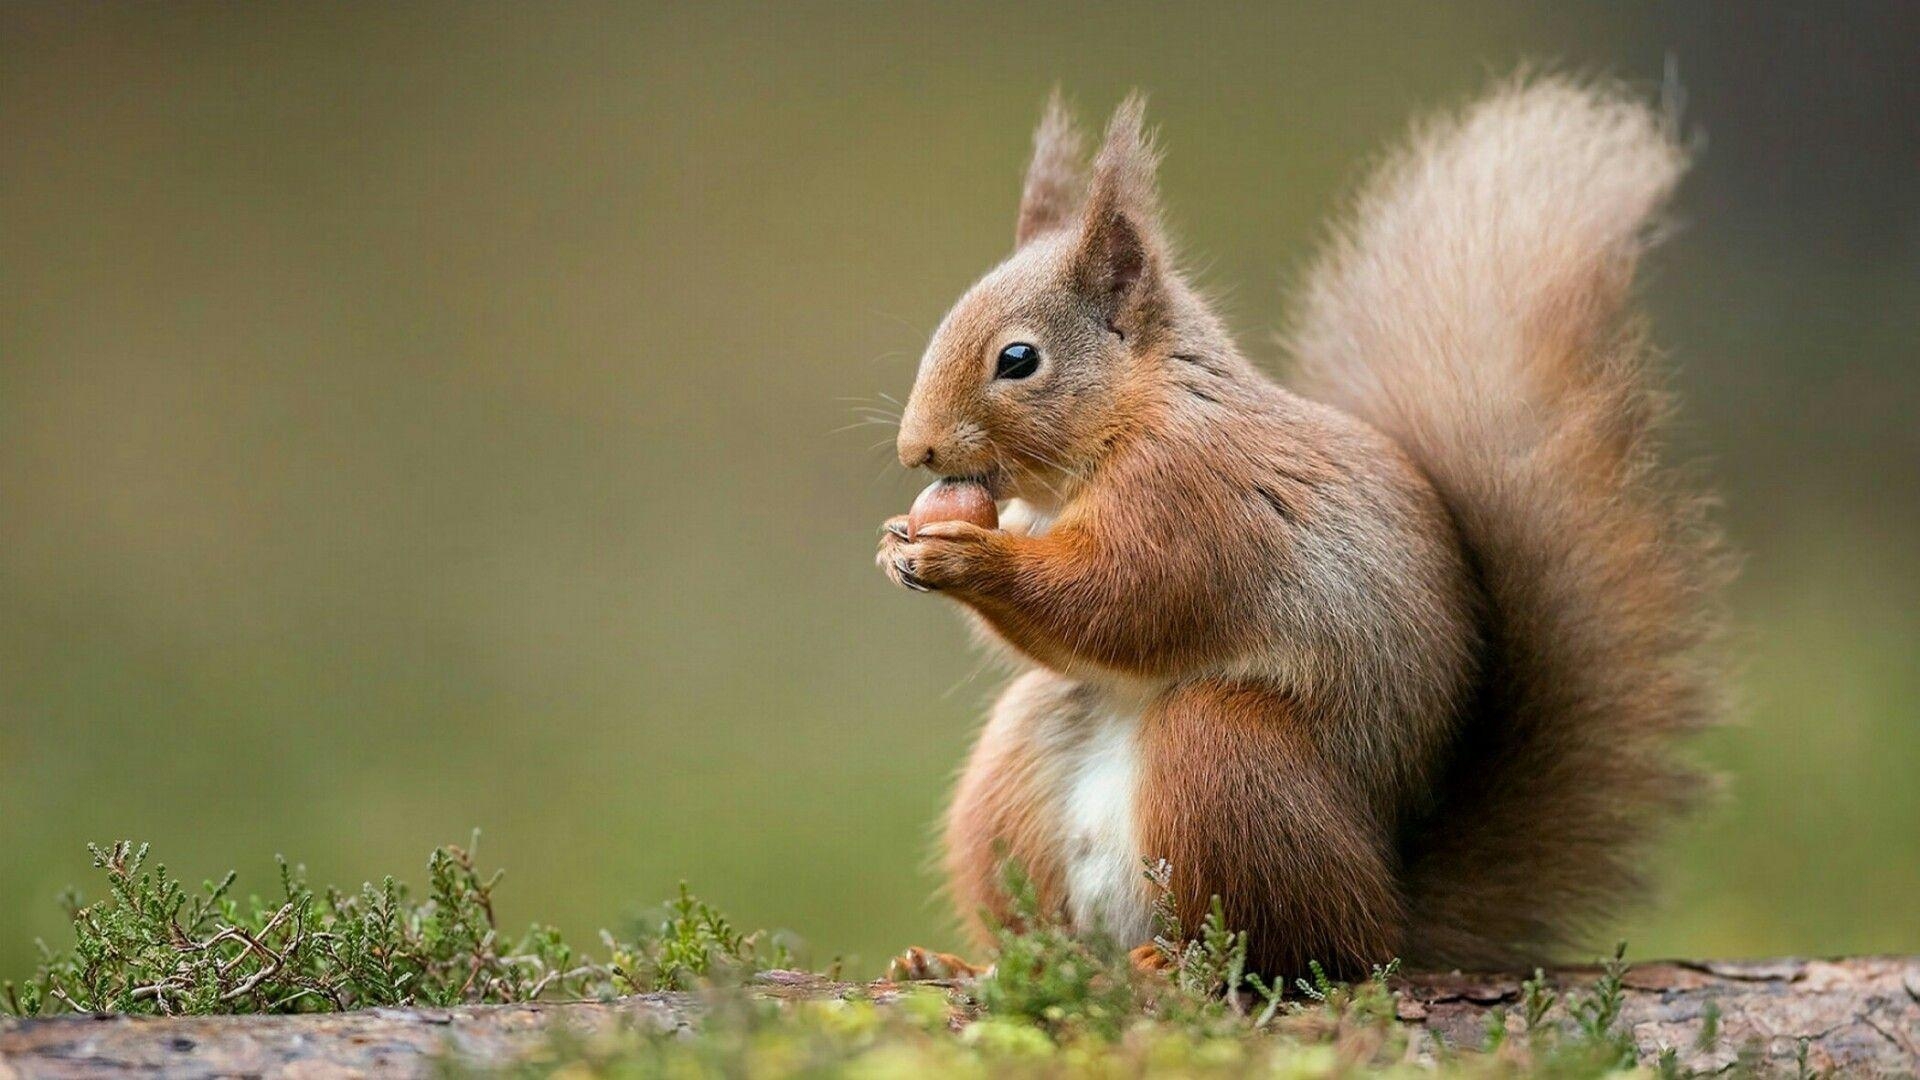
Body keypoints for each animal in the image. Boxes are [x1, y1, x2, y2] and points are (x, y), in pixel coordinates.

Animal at [879, 77, 1735, 976]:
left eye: (1018, 360)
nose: (915, 449)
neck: (1133, 418)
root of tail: (1393, 917)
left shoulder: (1191, 502)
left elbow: (1122, 600)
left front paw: (969, 559)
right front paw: (897, 544)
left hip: (1229, 760)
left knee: (1289, 946)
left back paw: (1177, 966)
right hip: (1017, 775)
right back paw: (981, 965)